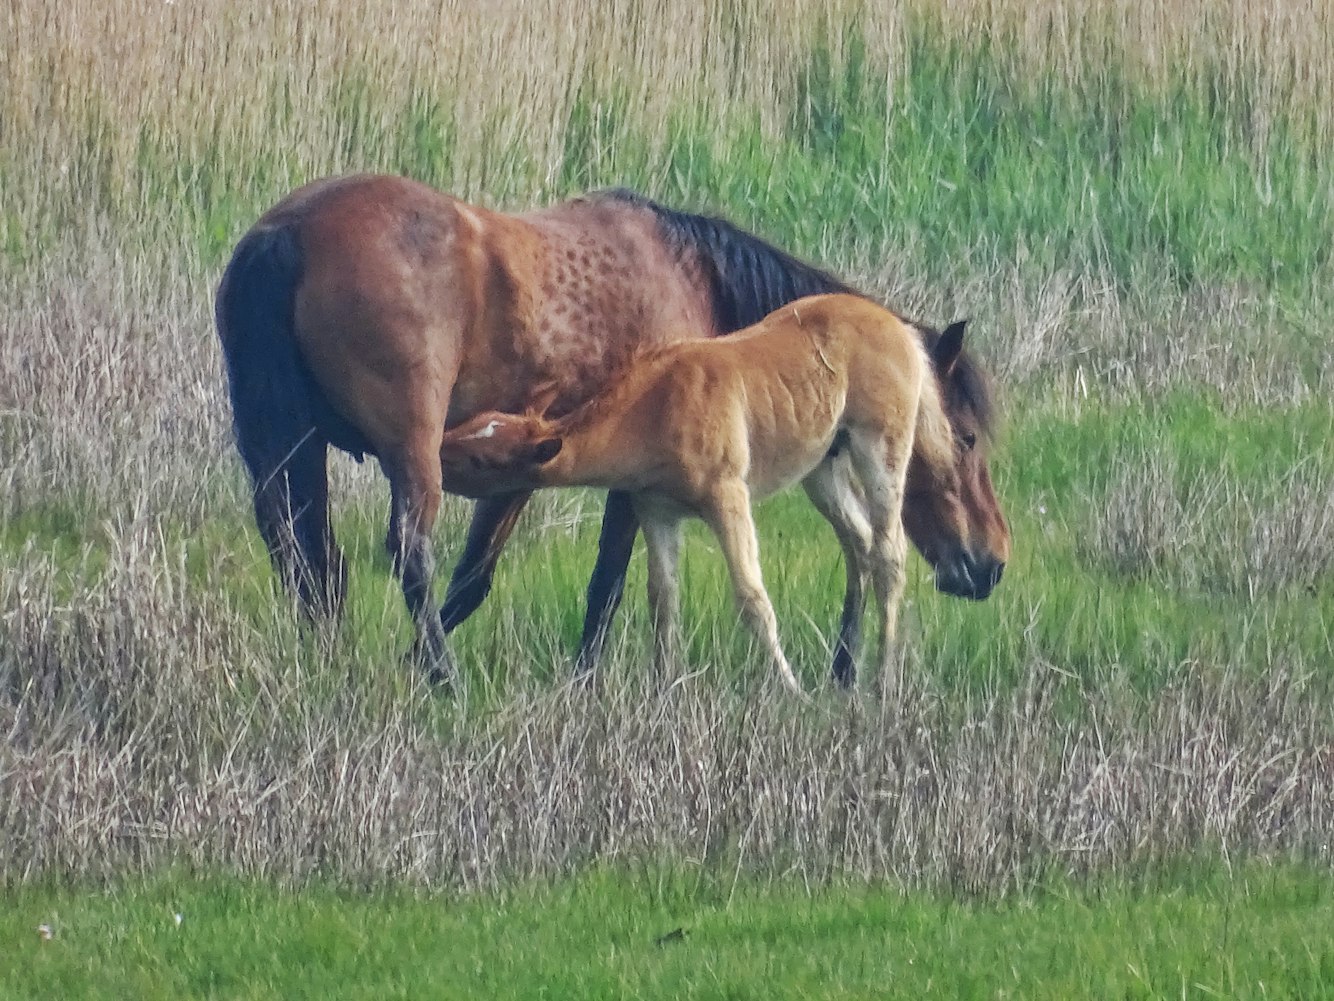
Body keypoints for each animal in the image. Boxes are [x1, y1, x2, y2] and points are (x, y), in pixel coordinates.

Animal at [437, 294, 1009, 692]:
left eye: (481, 459)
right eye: (477, 426)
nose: (434, 455)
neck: (656, 402)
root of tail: (899, 330)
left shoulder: (727, 498)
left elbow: (753, 598)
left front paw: (791, 690)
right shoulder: (657, 510)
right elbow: (663, 598)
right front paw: (665, 688)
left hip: (880, 449)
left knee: (889, 554)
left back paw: (884, 682)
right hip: (823, 470)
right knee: (862, 544)